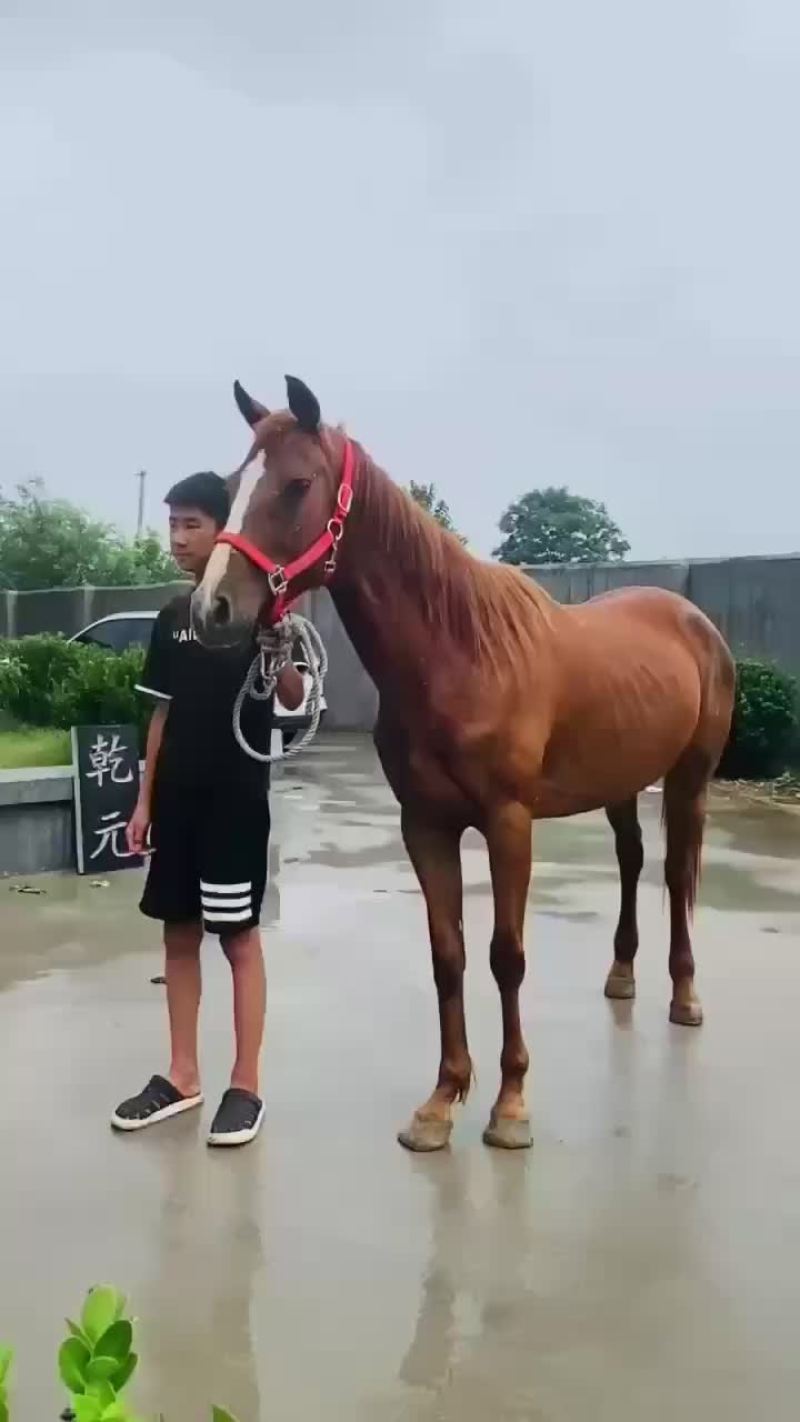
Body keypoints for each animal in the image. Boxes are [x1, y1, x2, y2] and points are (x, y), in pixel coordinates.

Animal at [192, 375, 736, 1153]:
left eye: (296, 484)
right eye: (236, 485)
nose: (213, 609)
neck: (461, 653)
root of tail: (692, 620)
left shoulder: (509, 824)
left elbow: (506, 955)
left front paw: (510, 1107)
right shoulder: (425, 825)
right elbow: (447, 953)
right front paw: (441, 1103)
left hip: (690, 779)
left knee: (678, 872)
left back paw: (684, 997)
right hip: (622, 781)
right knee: (633, 861)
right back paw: (622, 977)